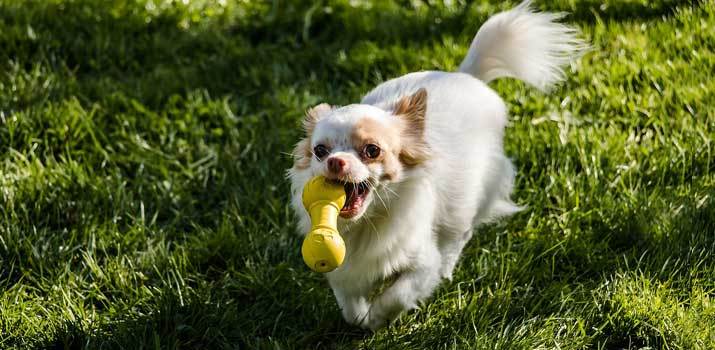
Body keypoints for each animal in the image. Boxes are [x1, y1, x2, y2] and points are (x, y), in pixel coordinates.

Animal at [288, 0, 584, 330]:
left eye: (372, 150)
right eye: (320, 151)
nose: (335, 161)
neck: (367, 223)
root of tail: (466, 75)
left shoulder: (421, 263)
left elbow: (398, 294)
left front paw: (377, 318)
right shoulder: (344, 270)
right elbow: (350, 307)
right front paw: (363, 317)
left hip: (470, 200)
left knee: (459, 235)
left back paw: (448, 266)